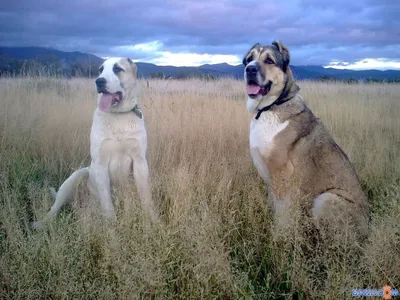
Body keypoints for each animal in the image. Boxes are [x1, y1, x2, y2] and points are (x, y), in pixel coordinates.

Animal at [33, 58, 158, 227]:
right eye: (100, 70)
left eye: (117, 69)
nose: (99, 81)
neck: (118, 115)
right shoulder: (100, 165)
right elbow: (107, 203)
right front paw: (112, 227)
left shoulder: (140, 163)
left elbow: (146, 197)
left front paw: (153, 221)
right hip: (77, 176)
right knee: (55, 207)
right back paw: (41, 223)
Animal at [241, 39, 368, 238]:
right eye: (249, 59)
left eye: (269, 60)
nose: (250, 69)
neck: (271, 106)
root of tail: (369, 227)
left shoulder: (282, 175)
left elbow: (282, 214)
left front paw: (278, 239)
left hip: (326, 199)